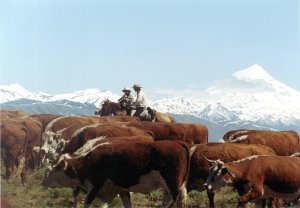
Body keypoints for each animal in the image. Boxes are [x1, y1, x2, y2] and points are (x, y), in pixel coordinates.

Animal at [41, 141, 192, 207]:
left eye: (55, 169)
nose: (43, 183)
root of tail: (179, 143)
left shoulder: (95, 186)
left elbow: (87, 203)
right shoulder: (121, 189)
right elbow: (127, 204)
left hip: (173, 185)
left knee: (176, 201)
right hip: (173, 187)